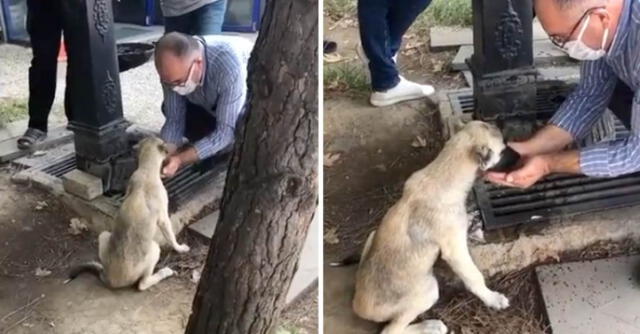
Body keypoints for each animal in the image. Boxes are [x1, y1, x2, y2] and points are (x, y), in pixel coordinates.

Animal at [70, 137, 191, 290]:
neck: (146, 169)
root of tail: (110, 279)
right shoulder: (164, 219)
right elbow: (171, 237)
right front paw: (180, 248)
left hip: (104, 235)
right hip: (154, 249)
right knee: (142, 284)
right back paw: (164, 272)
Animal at [356, 122, 510, 334]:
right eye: (503, 149)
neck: (442, 173)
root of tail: (358, 307)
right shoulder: (455, 250)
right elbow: (474, 277)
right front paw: (492, 299)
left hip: (372, 235)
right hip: (429, 290)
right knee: (391, 331)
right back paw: (431, 326)